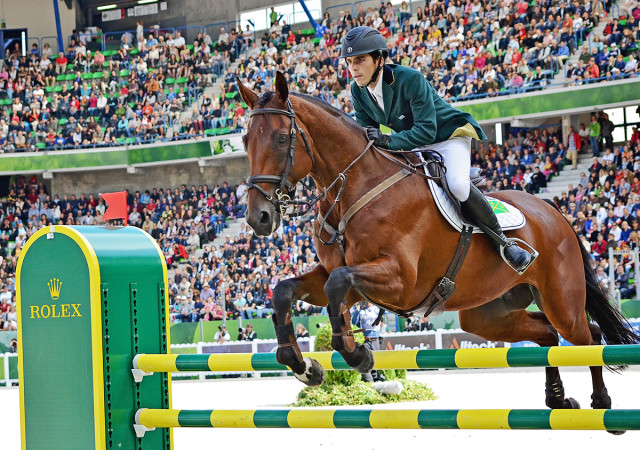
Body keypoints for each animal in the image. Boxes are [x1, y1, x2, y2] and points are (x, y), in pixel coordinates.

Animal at [238, 72, 636, 420]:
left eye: (280, 139)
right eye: (245, 141)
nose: (258, 217)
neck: (355, 187)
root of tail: (554, 212)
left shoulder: (400, 281)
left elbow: (338, 285)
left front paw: (358, 356)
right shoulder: (343, 278)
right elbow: (285, 291)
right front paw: (304, 366)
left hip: (560, 298)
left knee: (587, 335)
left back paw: (601, 401)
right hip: (489, 314)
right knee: (547, 334)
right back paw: (557, 399)